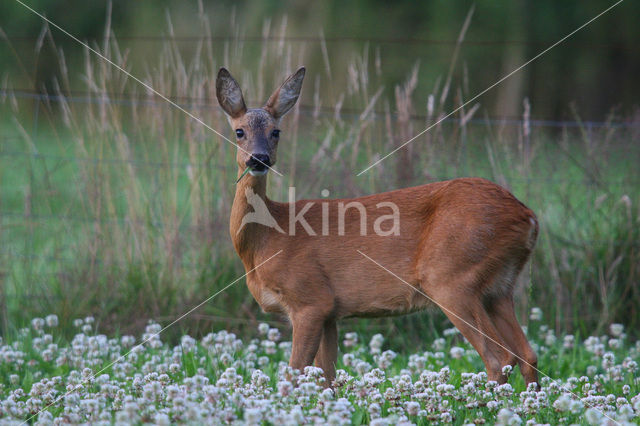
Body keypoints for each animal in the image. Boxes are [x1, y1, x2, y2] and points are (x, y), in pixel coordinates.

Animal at [216, 65, 540, 386]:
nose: (259, 159)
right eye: (239, 131)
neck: (267, 238)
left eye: (276, 132)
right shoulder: (330, 312)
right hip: (499, 287)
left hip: (453, 277)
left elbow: (295, 375)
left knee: (500, 358)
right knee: (528, 354)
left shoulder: (310, 298)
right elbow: (326, 378)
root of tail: (528, 216)